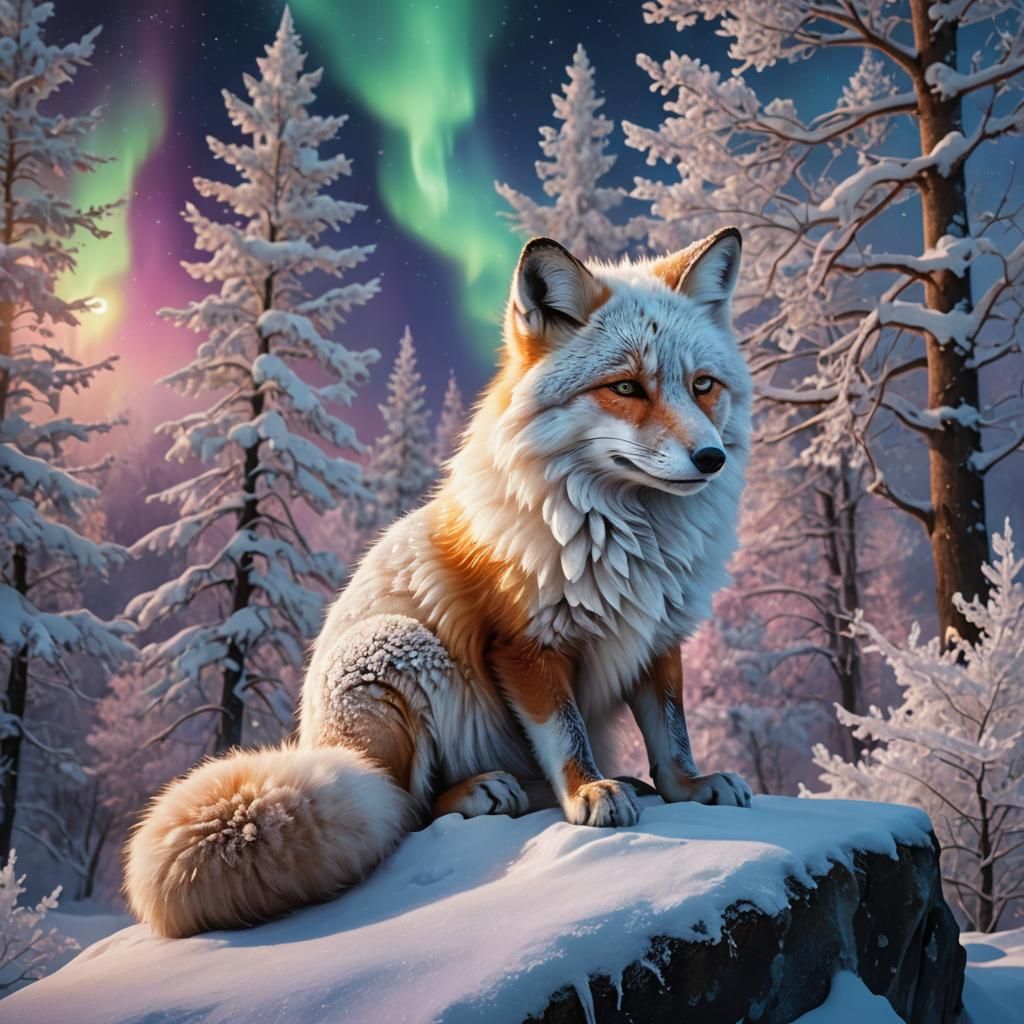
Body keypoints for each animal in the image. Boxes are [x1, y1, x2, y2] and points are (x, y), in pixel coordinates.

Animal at [125, 227, 754, 938]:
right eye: (626, 386)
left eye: (702, 386)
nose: (711, 457)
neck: (632, 542)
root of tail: (312, 743)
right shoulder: (524, 645)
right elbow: (566, 733)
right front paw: (587, 791)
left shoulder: (658, 639)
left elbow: (672, 735)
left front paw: (688, 788)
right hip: (397, 648)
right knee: (407, 811)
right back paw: (482, 791)